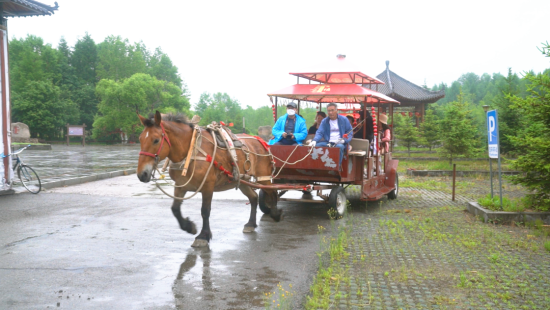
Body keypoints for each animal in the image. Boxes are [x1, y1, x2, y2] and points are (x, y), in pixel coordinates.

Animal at [136, 111, 282, 247]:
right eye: (140, 139)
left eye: (156, 140)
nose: (142, 174)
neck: (191, 152)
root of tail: (260, 141)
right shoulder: (180, 185)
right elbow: (175, 209)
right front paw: (189, 227)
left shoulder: (207, 185)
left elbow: (205, 211)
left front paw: (203, 236)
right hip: (242, 180)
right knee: (253, 197)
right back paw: (251, 223)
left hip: (263, 177)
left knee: (272, 192)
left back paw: (275, 213)